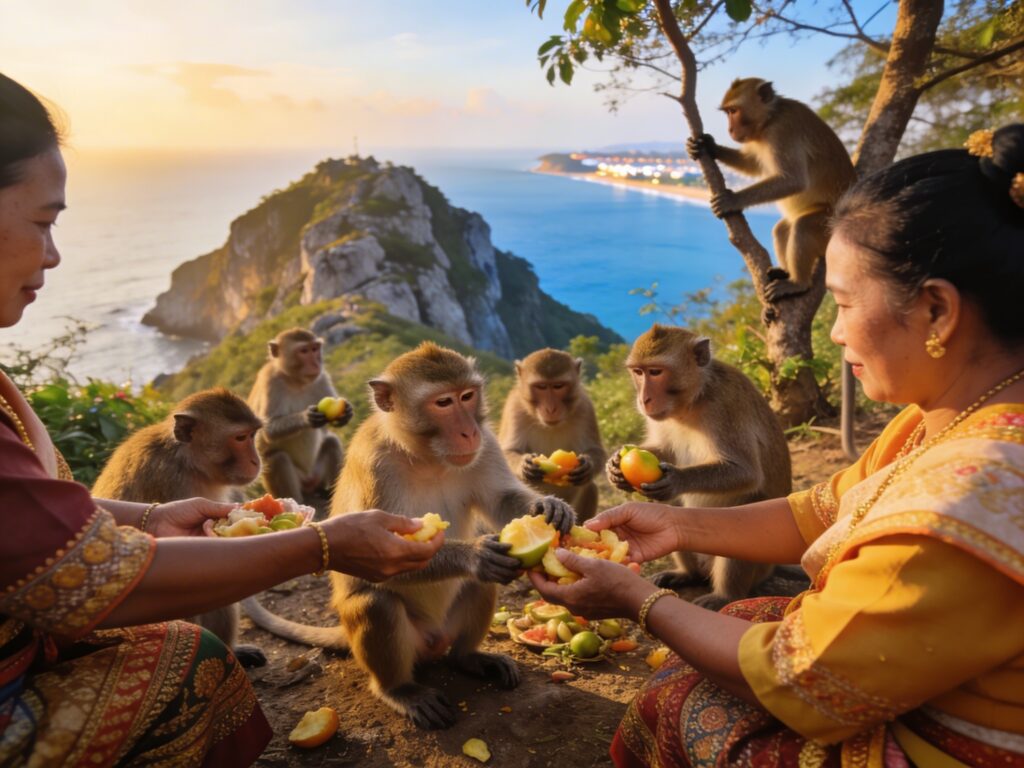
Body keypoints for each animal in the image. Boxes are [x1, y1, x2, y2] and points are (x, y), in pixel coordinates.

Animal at [246, 327, 352, 507]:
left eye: (315, 349)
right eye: (304, 351)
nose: (316, 363)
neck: (296, 381)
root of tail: (309, 483)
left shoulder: (322, 377)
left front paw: (346, 413)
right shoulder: (271, 381)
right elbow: (268, 430)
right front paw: (307, 417)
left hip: (317, 474)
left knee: (331, 442)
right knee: (277, 458)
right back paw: (294, 501)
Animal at [497, 348, 606, 521]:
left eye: (558, 386)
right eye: (541, 387)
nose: (551, 409)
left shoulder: (584, 406)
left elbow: (596, 450)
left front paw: (587, 465)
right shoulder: (514, 408)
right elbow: (507, 451)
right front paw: (524, 464)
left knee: (589, 486)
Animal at [606, 324, 792, 609]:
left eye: (656, 372)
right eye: (638, 372)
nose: (644, 399)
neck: (693, 399)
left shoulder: (726, 405)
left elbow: (746, 472)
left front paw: (677, 480)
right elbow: (665, 449)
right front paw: (615, 465)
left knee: (743, 507)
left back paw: (726, 595)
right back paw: (687, 574)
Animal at [687, 77, 855, 303]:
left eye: (733, 111)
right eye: (727, 112)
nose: (730, 129)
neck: (769, 119)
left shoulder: (783, 131)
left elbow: (793, 180)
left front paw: (733, 200)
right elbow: (752, 164)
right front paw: (710, 146)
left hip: (830, 225)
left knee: (803, 226)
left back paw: (797, 284)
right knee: (782, 229)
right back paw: (785, 273)